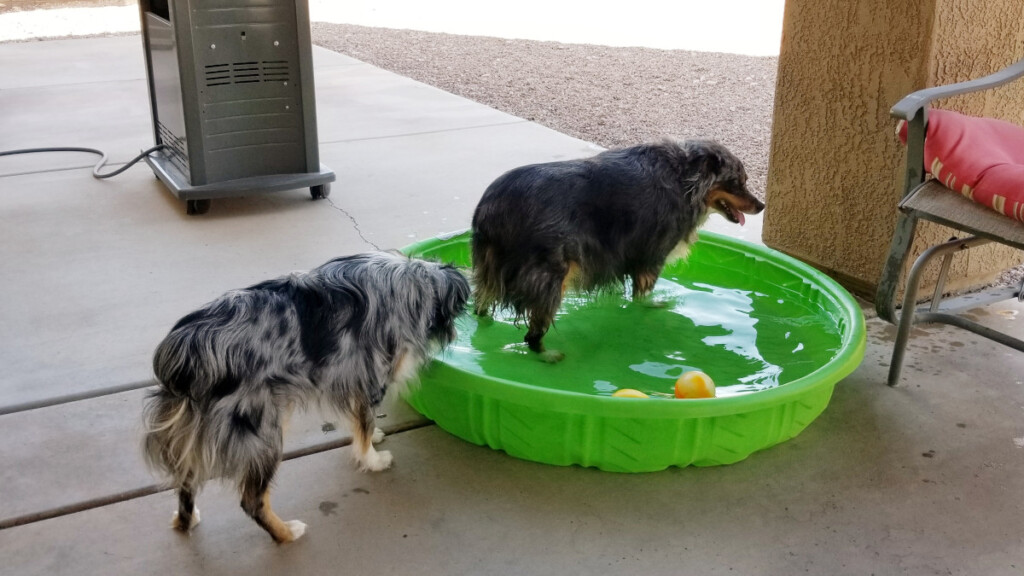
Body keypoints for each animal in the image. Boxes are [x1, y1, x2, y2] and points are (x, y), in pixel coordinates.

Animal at [468, 138, 761, 358]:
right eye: (738, 182)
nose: (762, 206)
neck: (685, 177)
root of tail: (491, 211)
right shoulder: (651, 258)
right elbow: (643, 296)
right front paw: (651, 306)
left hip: (487, 271)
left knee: (481, 306)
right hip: (551, 277)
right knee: (532, 333)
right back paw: (546, 354)